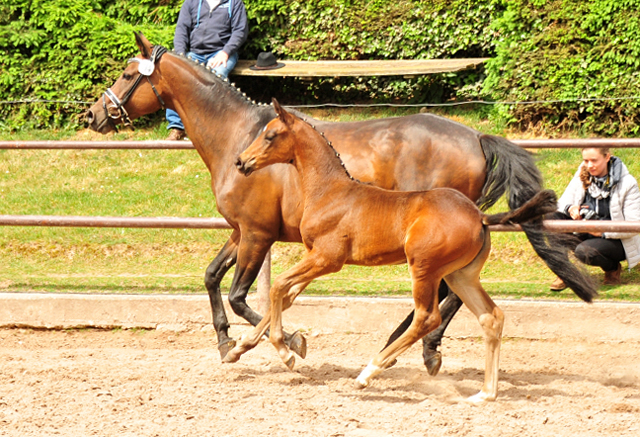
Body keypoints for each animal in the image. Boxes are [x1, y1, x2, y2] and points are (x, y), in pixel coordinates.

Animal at [231, 99, 556, 402]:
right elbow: (286, 295)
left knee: (427, 318)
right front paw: (243, 347)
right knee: (491, 317)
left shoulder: (327, 258)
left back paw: (369, 372)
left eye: (270, 135)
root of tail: (480, 216)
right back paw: (485, 393)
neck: (329, 191)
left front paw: (284, 352)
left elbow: (278, 286)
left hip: (424, 268)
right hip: (461, 275)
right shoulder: (316, 258)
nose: (241, 161)